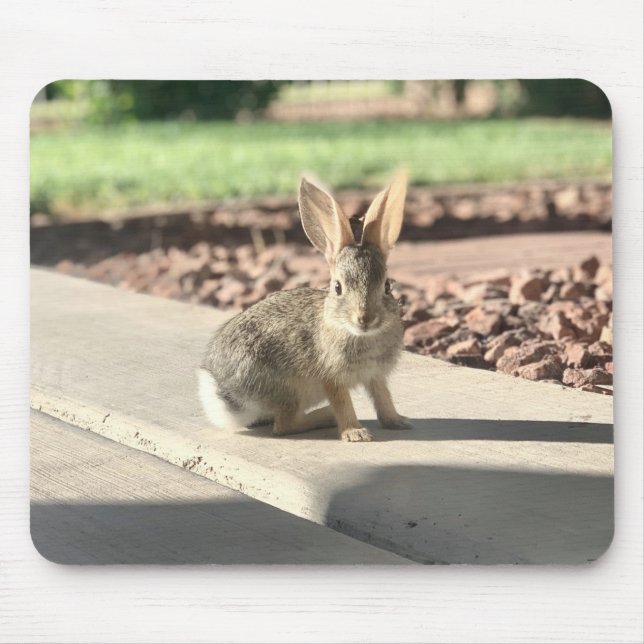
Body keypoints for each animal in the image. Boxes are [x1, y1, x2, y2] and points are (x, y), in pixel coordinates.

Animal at [198, 170, 411, 442]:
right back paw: (325, 416)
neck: (357, 333)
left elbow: (383, 397)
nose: (364, 318)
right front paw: (355, 433)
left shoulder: (375, 374)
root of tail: (226, 394)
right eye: (337, 287)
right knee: (284, 426)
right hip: (288, 390)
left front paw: (398, 421)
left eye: (387, 286)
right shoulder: (331, 377)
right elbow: (343, 403)